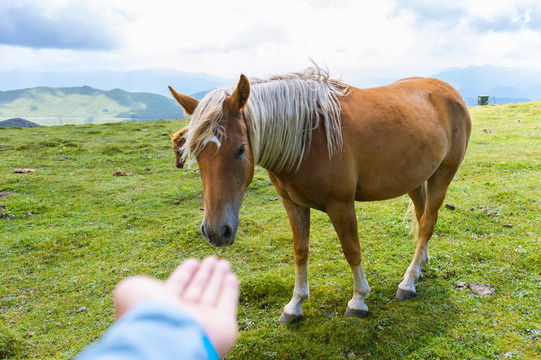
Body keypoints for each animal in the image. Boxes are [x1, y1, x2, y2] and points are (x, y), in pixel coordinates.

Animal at [169, 67, 468, 324]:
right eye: (194, 151)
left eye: (241, 149)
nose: (216, 232)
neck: (308, 138)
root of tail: (451, 91)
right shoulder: (292, 203)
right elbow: (300, 251)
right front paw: (295, 305)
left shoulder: (341, 205)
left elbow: (351, 249)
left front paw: (358, 300)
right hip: (416, 179)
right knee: (422, 218)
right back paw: (418, 268)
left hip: (443, 175)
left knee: (427, 223)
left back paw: (407, 283)